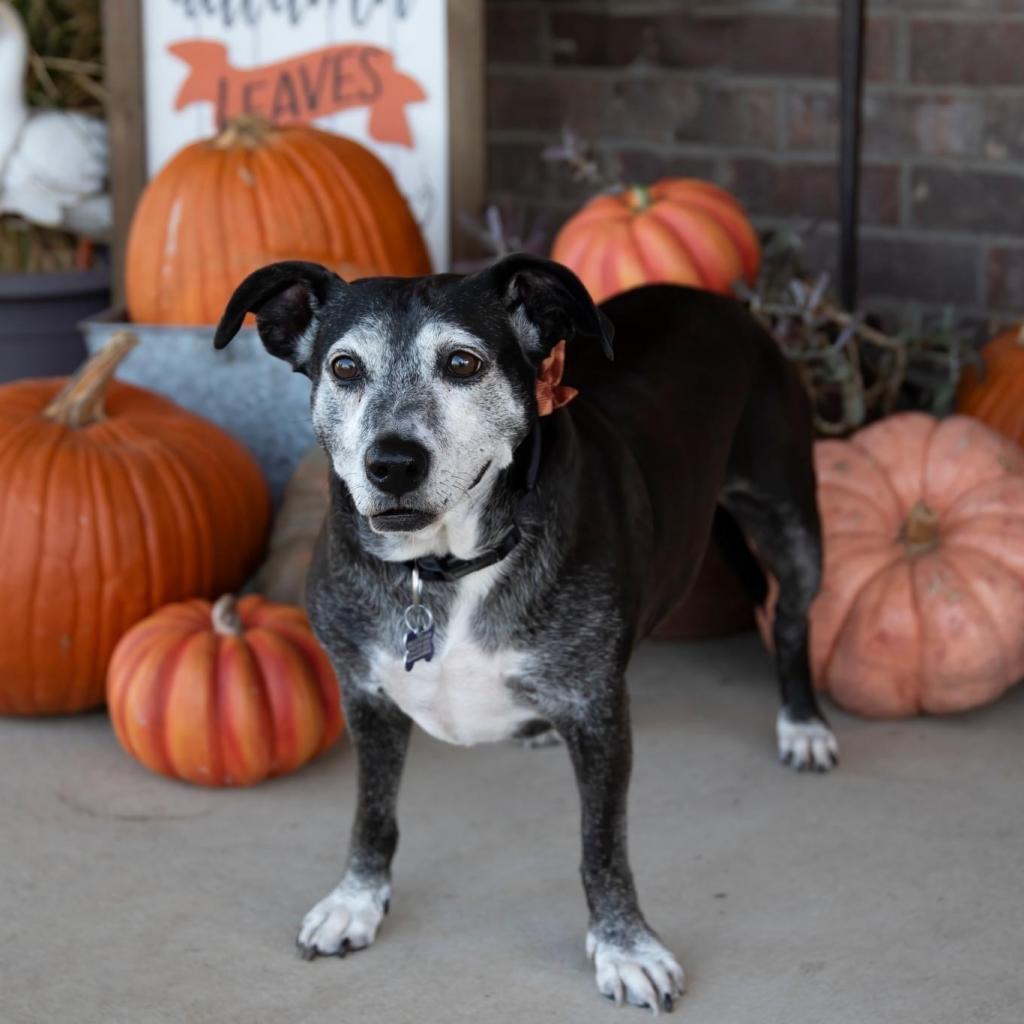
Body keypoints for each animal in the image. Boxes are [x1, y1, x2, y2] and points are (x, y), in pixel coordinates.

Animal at [214, 253, 831, 1007]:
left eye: (462, 362)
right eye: (345, 368)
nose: (392, 464)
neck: (442, 568)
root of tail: (714, 298)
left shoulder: (596, 713)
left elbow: (602, 845)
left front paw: (625, 946)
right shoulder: (365, 695)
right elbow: (372, 812)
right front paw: (355, 902)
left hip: (791, 519)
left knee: (793, 620)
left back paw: (803, 724)